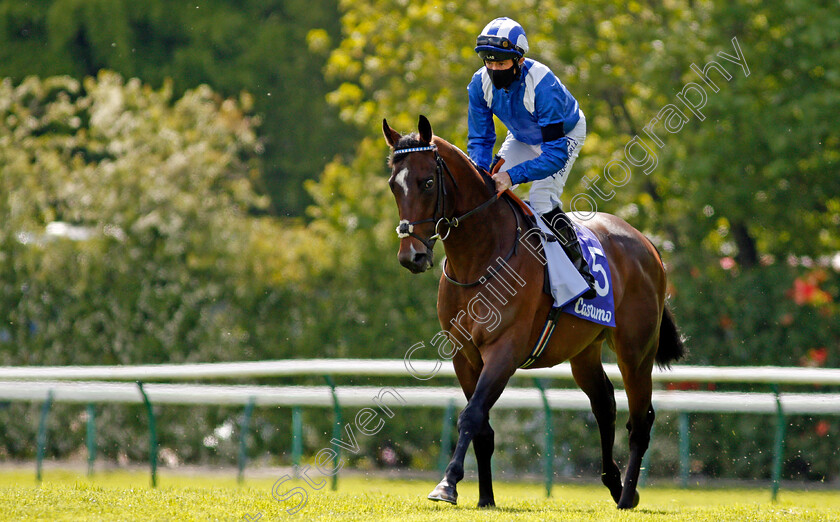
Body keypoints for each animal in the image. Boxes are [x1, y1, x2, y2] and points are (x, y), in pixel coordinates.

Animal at [382, 115, 684, 508]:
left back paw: (627, 496)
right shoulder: (464, 355)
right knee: (604, 403)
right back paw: (615, 484)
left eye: (428, 182)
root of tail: (648, 244)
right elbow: (482, 427)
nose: (412, 256)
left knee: (640, 420)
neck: (480, 257)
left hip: (636, 350)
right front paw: (485, 498)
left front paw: (447, 484)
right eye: (394, 185)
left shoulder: (505, 350)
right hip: (584, 349)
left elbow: (472, 415)